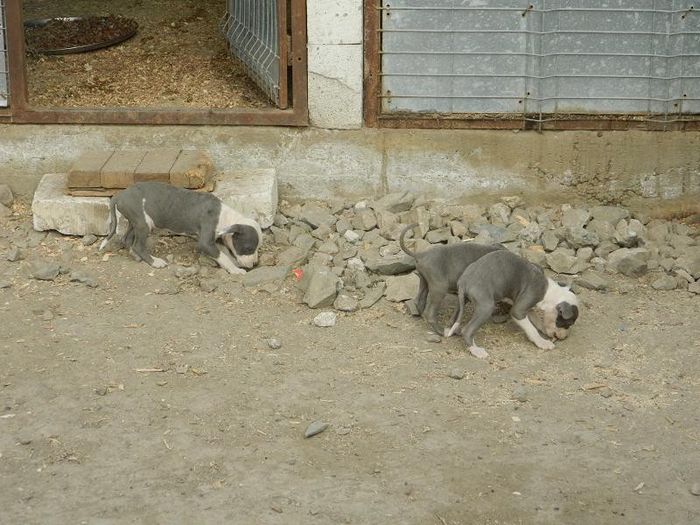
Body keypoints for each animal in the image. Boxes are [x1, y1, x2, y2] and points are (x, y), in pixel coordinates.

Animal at [99, 181, 262, 274]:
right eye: (248, 248)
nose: (255, 264)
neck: (226, 217)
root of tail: (119, 195)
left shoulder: (217, 239)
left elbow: (225, 253)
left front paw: (233, 263)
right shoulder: (205, 242)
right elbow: (222, 256)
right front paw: (235, 270)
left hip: (136, 222)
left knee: (127, 240)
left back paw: (135, 255)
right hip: (143, 223)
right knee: (138, 244)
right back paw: (155, 262)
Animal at [448, 249, 580, 356]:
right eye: (568, 323)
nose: (565, 337)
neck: (550, 292)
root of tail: (464, 280)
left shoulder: (526, 306)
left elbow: (537, 320)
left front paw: (543, 329)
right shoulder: (519, 310)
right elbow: (531, 328)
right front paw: (542, 342)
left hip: (463, 299)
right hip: (486, 307)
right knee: (467, 330)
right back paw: (476, 351)